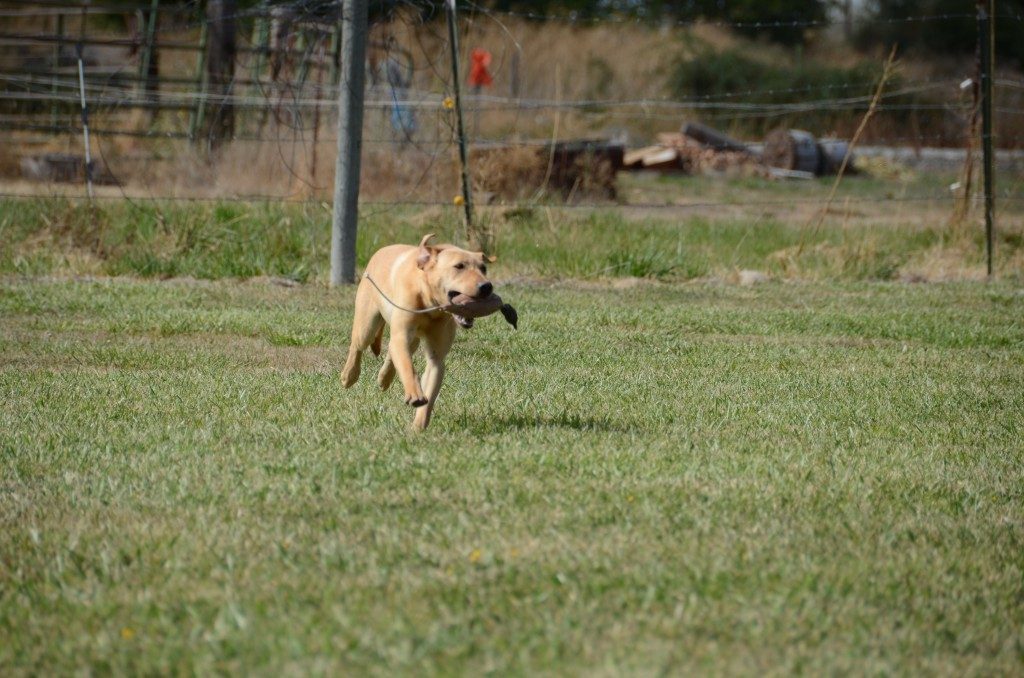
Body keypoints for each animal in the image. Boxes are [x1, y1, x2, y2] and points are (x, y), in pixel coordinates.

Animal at [342, 233, 497, 432]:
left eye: (483, 268)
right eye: (459, 266)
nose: (487, 286)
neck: (429, 303)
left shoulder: (436, 357)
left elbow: (430, 389)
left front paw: (419, 426)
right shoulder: (401, 335)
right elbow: (407, 366)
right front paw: (415, 394)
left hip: (412, 339)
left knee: (393, 352)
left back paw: (385, 378)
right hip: (367, 323)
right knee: (359, 345)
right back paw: (349, 375)